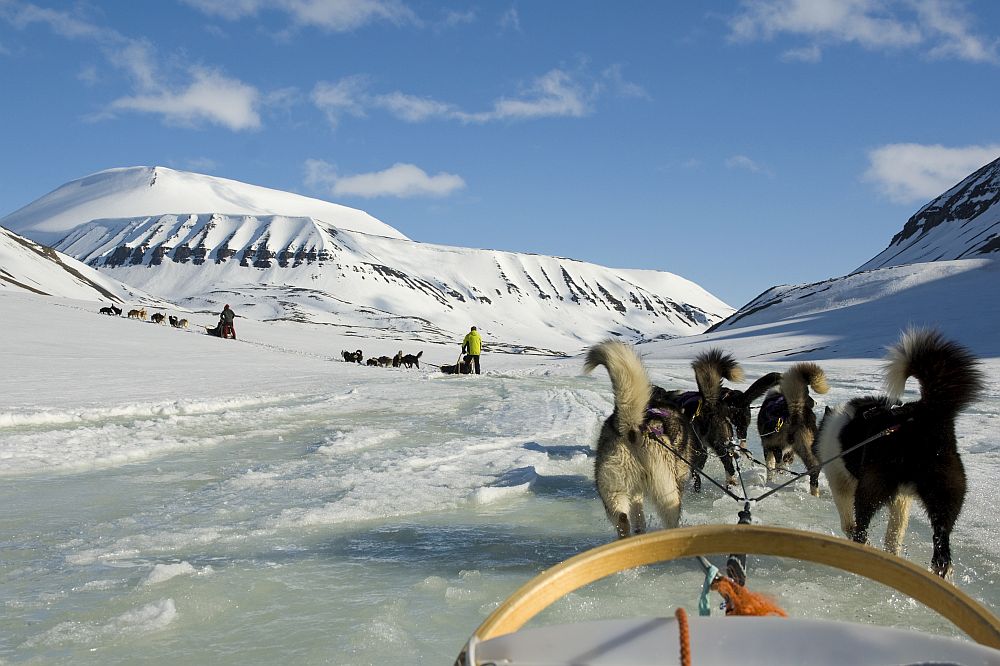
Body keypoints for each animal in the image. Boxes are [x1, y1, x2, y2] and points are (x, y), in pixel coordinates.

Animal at [584, 340, 696, 536]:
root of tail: (632, 428)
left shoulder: (635, 492)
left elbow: (637, 514)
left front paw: (639, 530)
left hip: (612, 490)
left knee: (622, 518)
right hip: (667, 492)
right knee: (670, 518)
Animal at [756, 364, 828, 492]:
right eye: (807, 393)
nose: (815, 403)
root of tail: (795, 412)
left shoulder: (768, 447)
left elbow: (771, 467)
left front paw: (770, 481)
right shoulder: (788, 451)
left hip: (777, 444)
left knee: (776, 463)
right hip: (806, 446)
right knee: (814, 468)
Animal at [820, 330, 984, 580]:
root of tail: (925, 413)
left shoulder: (840, 482)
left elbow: (848, 524)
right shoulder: (901, 499)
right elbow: (894, 534)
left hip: (871, 485)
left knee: (861, 526)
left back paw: (862, 548)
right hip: (946, 490)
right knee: (942, 543)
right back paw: (942, 570)